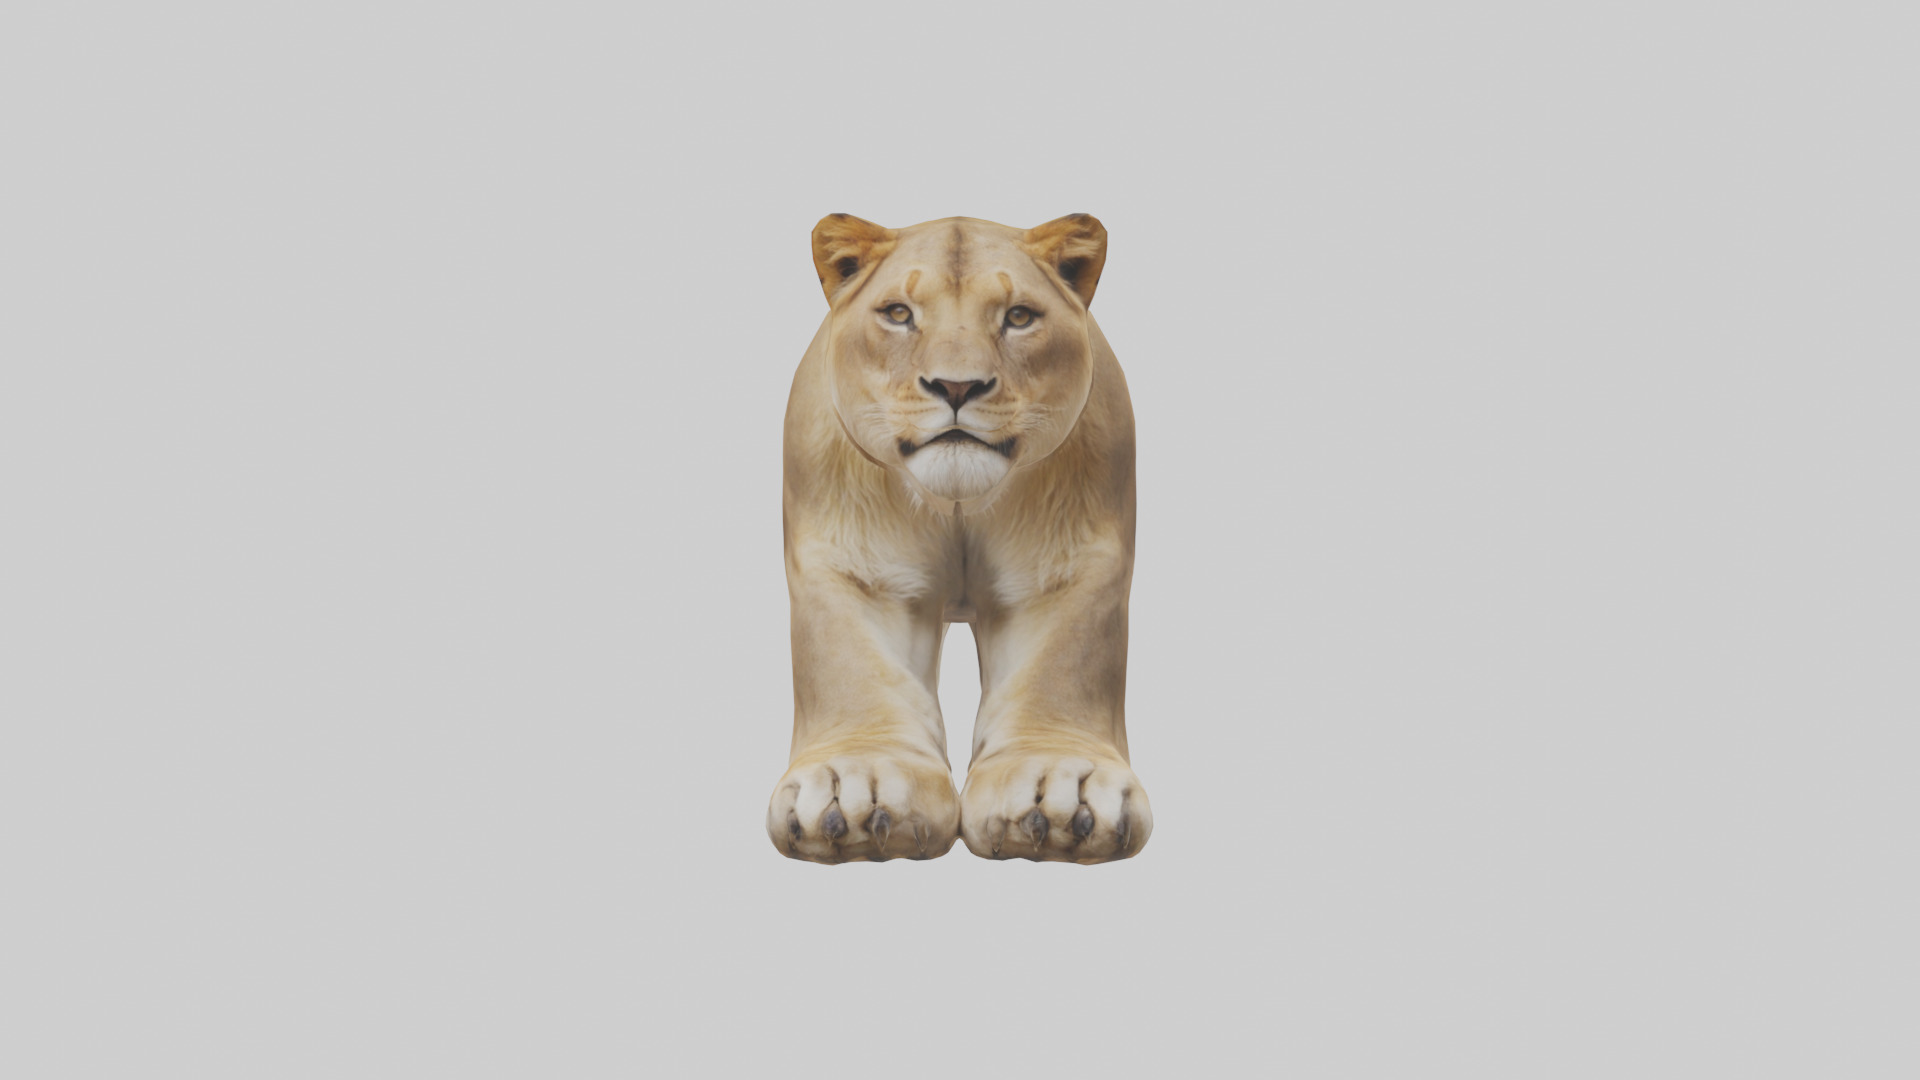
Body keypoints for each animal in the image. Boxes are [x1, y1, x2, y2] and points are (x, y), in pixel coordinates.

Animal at [767, 213, 1150, 864]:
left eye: (1018, 316)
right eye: (898, 313)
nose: (955, 386)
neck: (957, 508)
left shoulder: (1064, 567)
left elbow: (1063, 665)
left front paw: (1059, 792)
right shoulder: (859, 570)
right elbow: (851, 665)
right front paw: (857, 792)